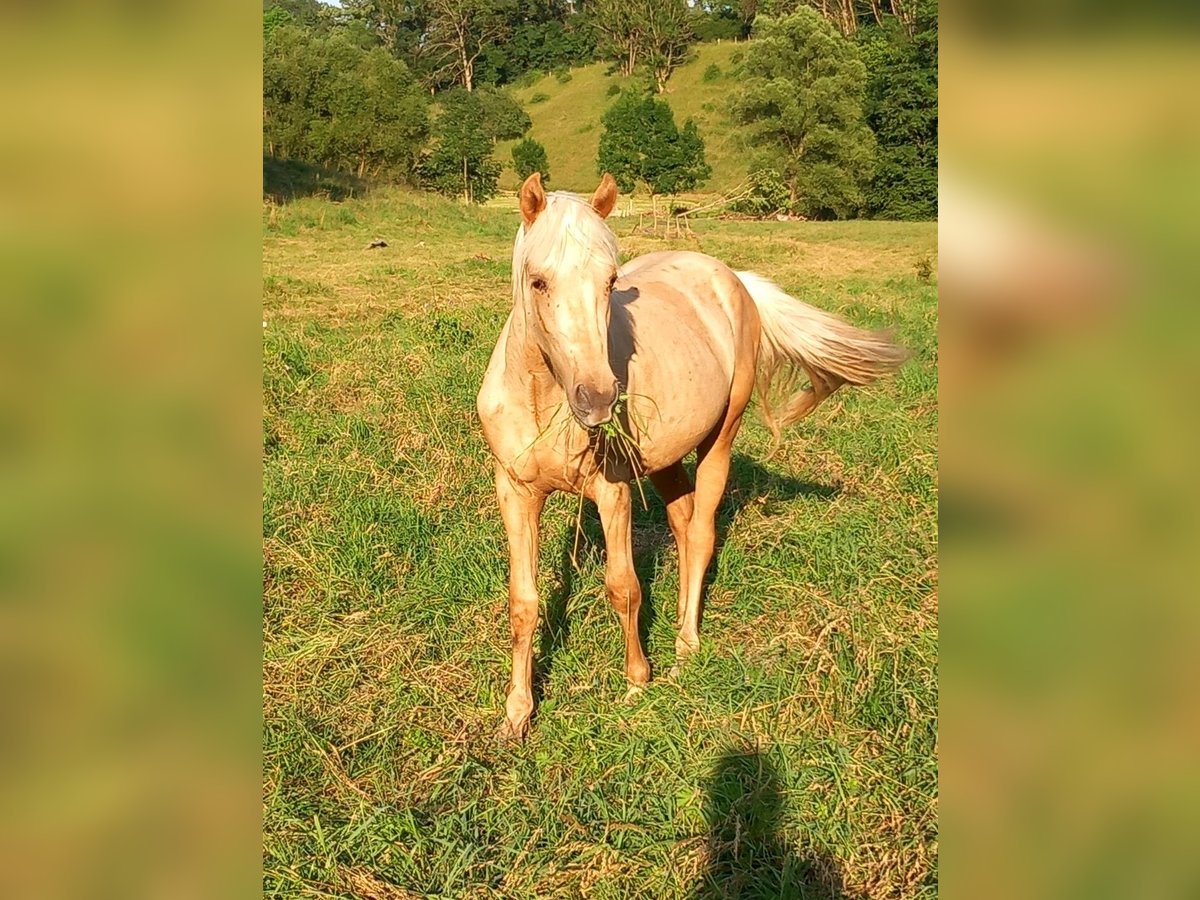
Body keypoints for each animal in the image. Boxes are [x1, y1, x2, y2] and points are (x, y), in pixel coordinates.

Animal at [475, 174, 902, 739]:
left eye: (610, 281)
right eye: (538, 281)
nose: (599, 399)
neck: (545, 396)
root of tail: (732, 278)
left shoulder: (612, 492)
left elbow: (623, 587)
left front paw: (637, 684)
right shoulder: (516, 492)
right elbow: (523, 603)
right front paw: (516, 715)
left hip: (720, 437)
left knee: (700, 533)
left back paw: (685, 648)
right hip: (667, 459)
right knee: (681, 523)